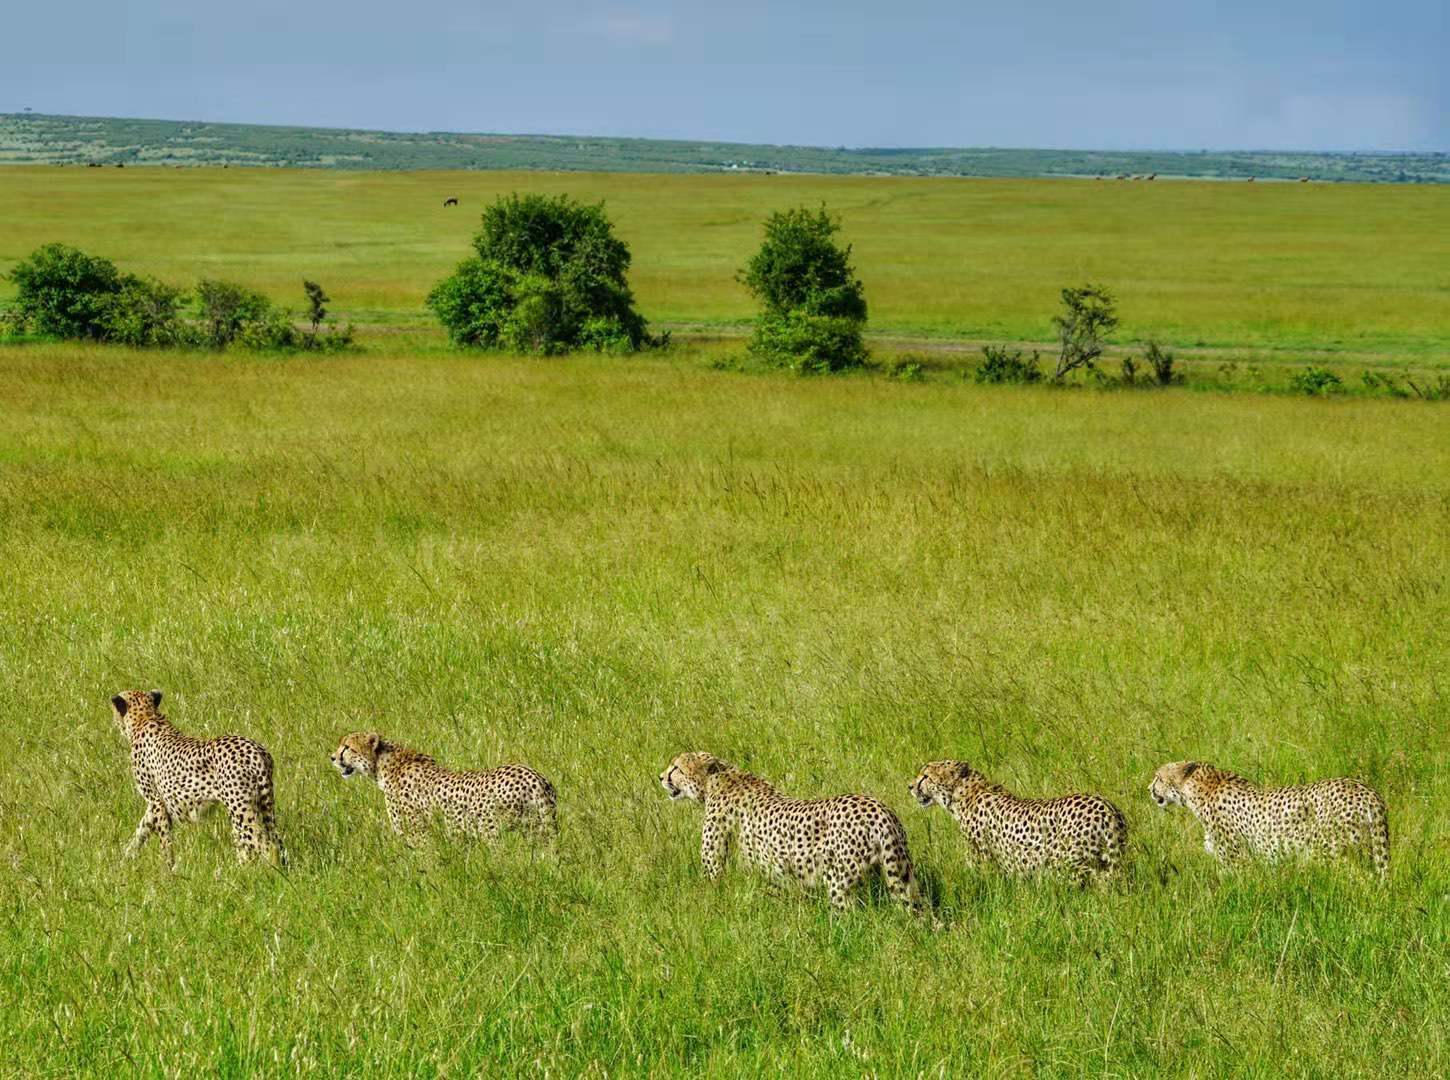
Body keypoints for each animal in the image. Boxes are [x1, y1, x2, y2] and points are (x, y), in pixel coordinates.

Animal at [108, 690, 284, 869]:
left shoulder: (156, 800)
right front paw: (125, 857)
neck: (145, 717)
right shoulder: (156, 803)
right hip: (264, 805)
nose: (114, 721)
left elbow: (165, 840)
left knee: (266, 844)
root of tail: (256, 750)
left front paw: (168, 868)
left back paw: (270, 871)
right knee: (274, 839)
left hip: (240, 809)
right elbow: (142, 828)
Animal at [332, 727, 556, 846]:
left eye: (347, 747)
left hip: (497, 833)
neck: (383, 764)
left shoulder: (418, 835)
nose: (332, 757)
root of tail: (532, 775)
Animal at [658, 748, 916, 910]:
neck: (718, 779)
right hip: (902, 873)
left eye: (676, 768)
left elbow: (712, 883)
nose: (660, 777)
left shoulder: (714, 864)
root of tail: (878, 808)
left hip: (839, 882)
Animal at [910, 759, 1125, 887]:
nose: (910, 786)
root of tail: (1105, 807)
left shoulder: (983, 860)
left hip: (1069, 863)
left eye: (926, 776)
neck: (965, 793)